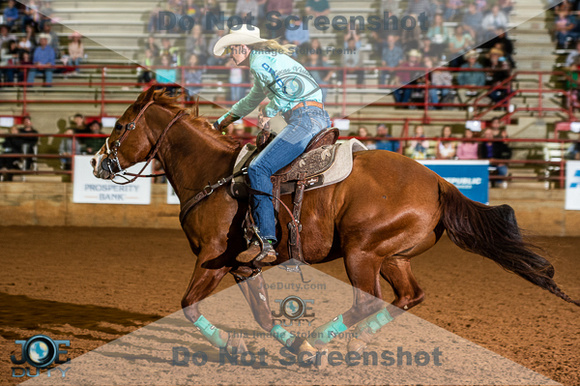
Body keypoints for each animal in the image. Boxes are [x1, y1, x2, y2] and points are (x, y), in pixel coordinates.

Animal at [93, 86, 576, 356]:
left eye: (119, 126)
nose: (98, 163)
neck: (215, 175)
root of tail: (439, 182)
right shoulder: (239, 265)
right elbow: (262, 314)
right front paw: (271, 343)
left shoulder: (215, 256)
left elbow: (189, 305)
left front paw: (253, 344)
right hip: (392, 256)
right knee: (409, 296)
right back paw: (353, 341)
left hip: (362, 252)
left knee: (368, 301)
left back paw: (322, 340)